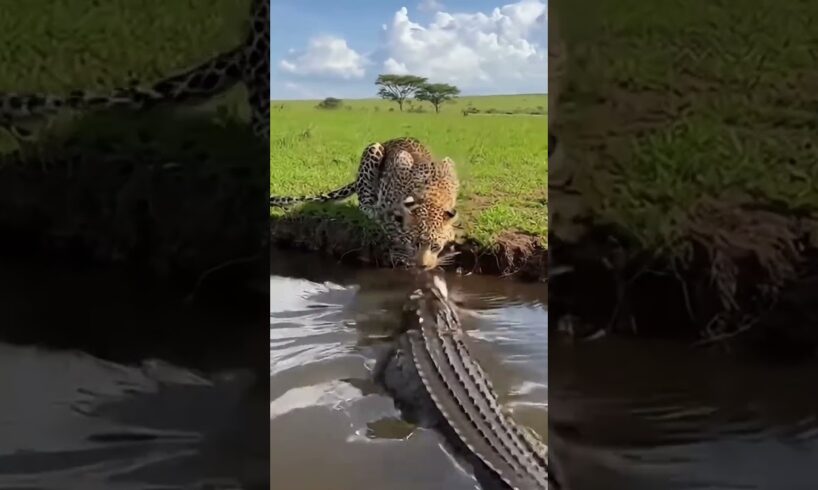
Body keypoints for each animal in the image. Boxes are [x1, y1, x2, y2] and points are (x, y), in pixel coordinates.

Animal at [270, 137, 460, 270]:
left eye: (435, 246)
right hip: (373, 149)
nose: (423, 266)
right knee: (363, 204)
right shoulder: (388, 208)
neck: (431, 197)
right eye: (415, 243)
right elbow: (393, 229)